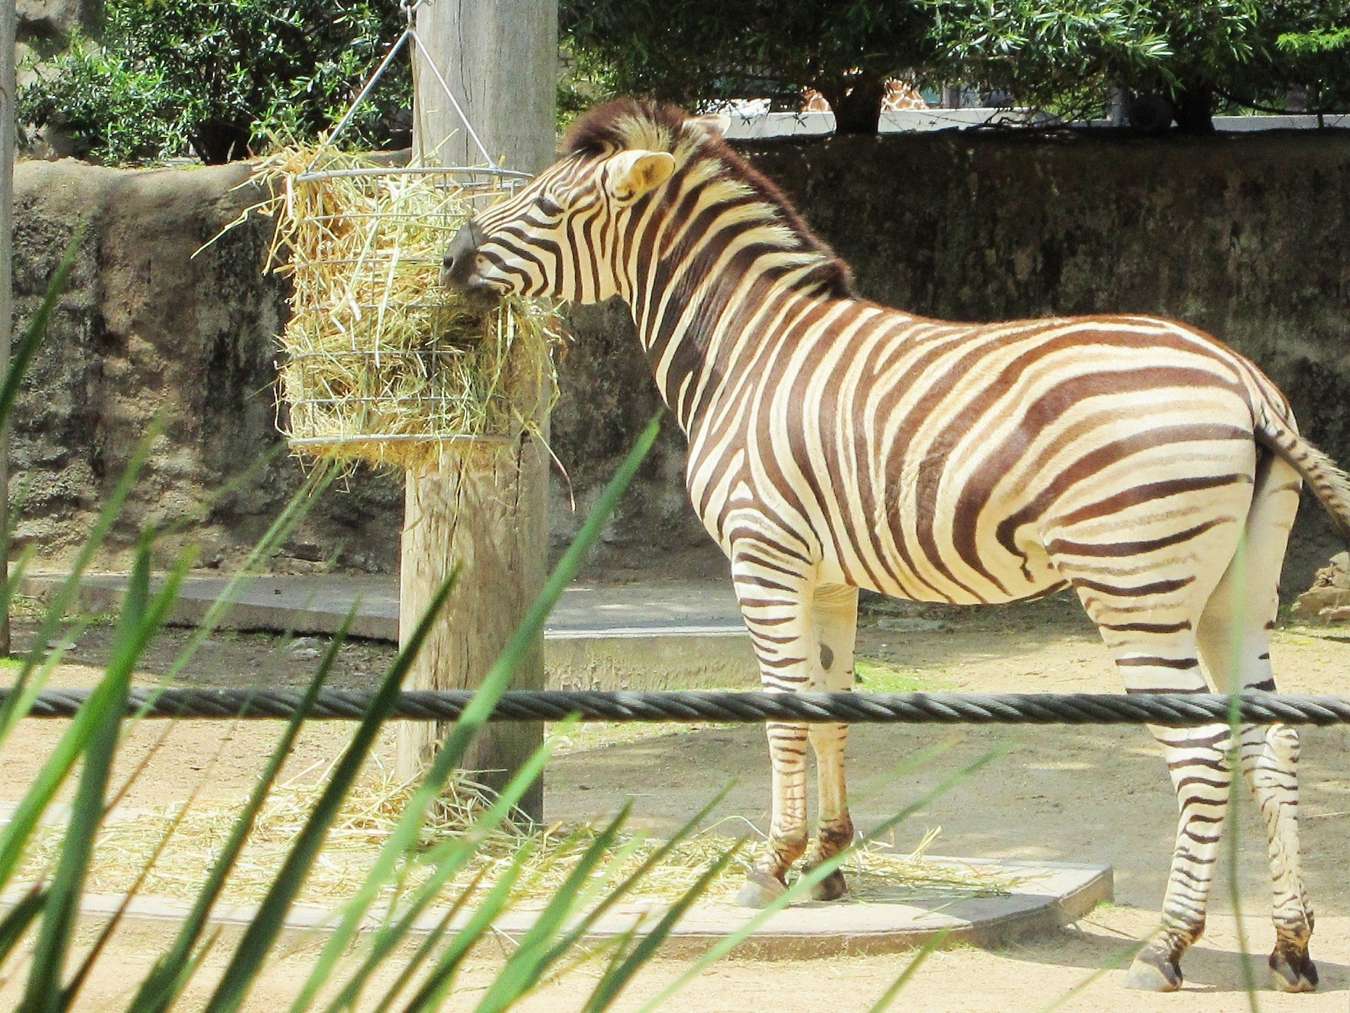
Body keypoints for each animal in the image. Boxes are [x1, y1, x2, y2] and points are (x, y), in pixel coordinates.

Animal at [445, 99, 1350, 994]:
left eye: (547, 205)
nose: (451, 257)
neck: (747, 348)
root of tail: (1244, 384)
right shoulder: (829, 575)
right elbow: (830, 707)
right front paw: (827, 861)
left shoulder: (763, 556)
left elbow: (784, 712)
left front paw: (771, 866)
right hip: (1237, 590)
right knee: (1271, 742)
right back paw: (1291, 945)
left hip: (1135, 587)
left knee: (1203, 752)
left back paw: (1166, 945)